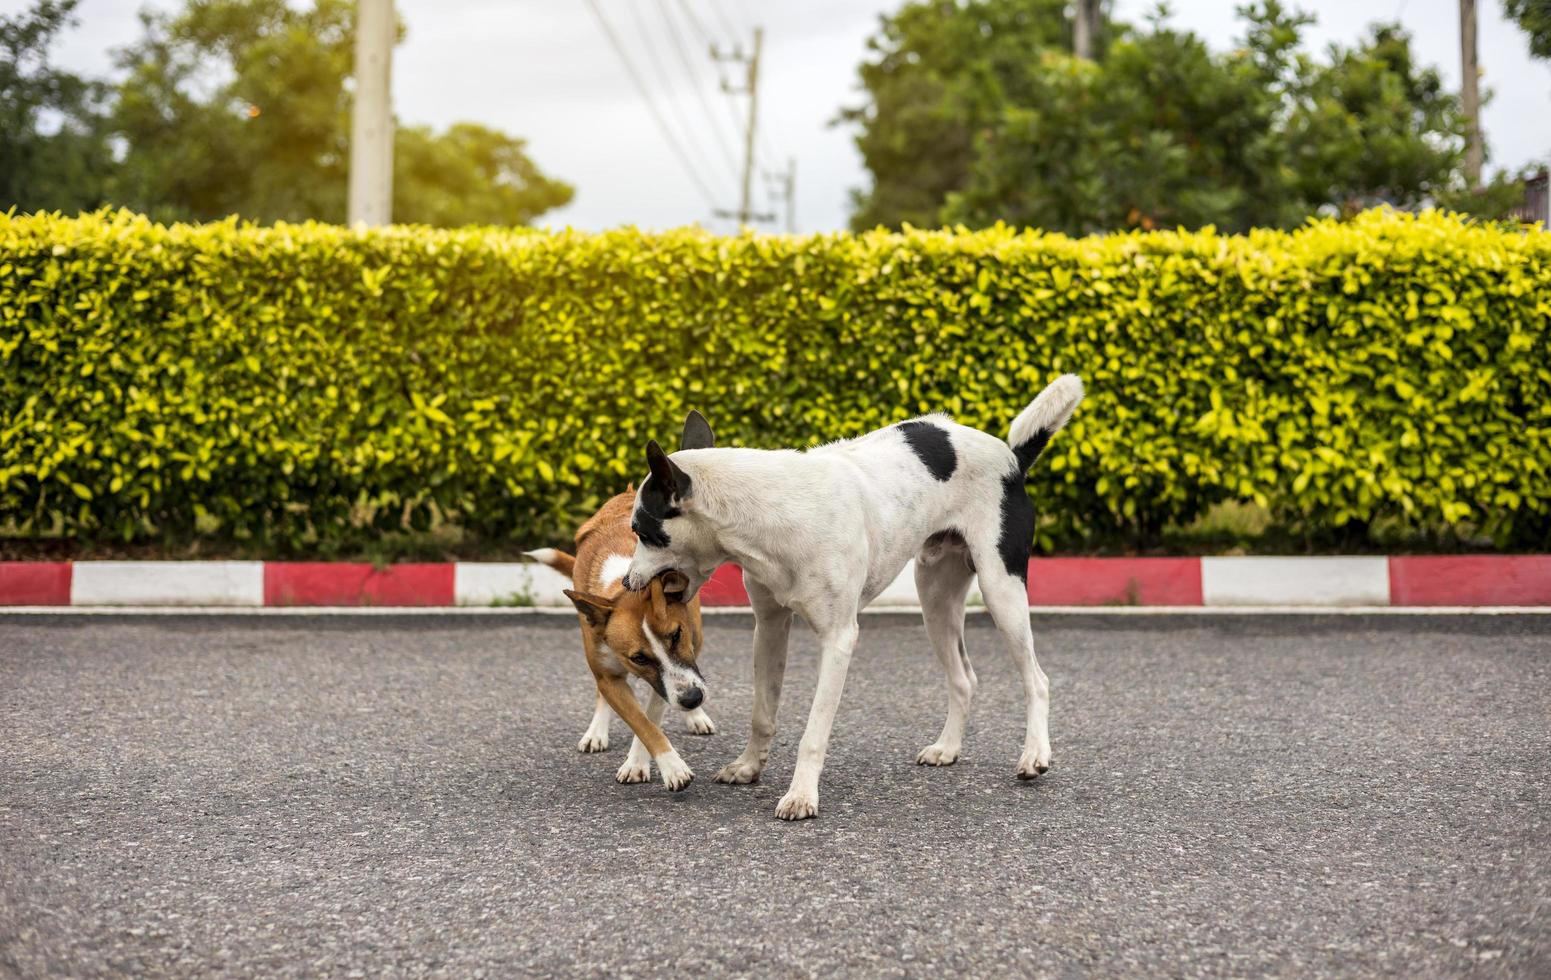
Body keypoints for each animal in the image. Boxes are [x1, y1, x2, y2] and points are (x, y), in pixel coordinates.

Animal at [524, 490, 710, 787]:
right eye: (639, 658)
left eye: (676, 635)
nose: (692, 699)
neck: (622, 587)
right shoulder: (611, 676)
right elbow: (641, 722)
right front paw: (669, 765)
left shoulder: (677, 664)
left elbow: (652, 713)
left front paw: (639, 761)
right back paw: (596, 731)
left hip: (698, 637)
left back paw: (696, 717)